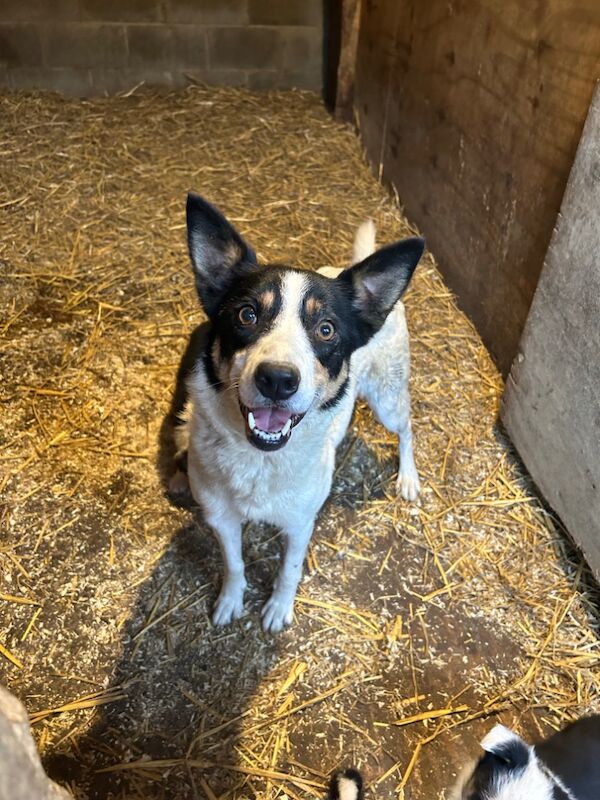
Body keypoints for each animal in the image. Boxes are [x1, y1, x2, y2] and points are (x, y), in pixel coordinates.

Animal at [166, 192, 424, 632]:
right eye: (247, 314)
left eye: (326, 329)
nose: (277, 379)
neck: (260, 461)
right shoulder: (221, 517)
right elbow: (234, 563)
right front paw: (231, 600)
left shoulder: (301, 523)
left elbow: (289, 569)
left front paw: (277, 608)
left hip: (387, 397)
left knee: (406, 429)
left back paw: (407, 477)